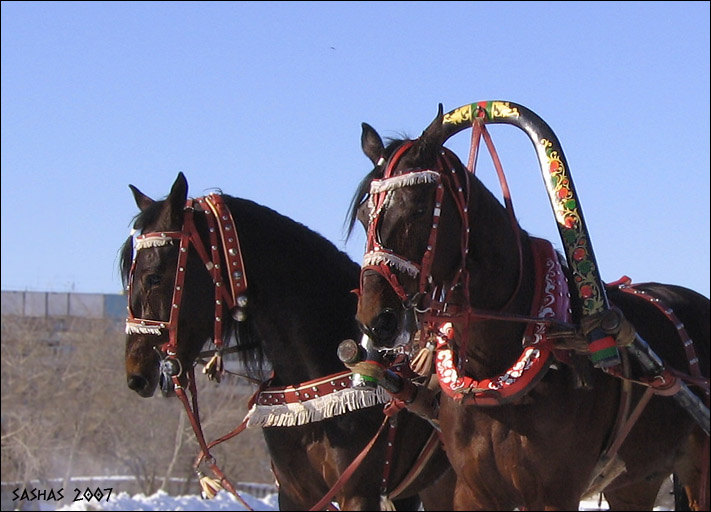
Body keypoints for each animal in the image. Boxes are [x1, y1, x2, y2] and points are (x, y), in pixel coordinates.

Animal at [348, 105, 708, 512]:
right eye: (363, 215)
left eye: (420, 208)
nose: (377, 319)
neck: (493, 368)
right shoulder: (473, 491)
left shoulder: (554, 492)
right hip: (636, 482)